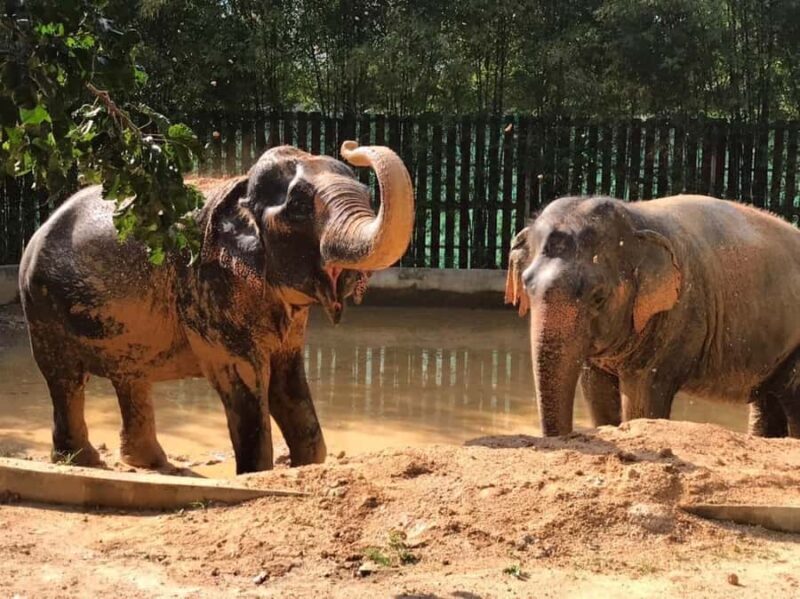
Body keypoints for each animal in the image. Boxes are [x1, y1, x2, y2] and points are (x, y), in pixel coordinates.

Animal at [19, 141, 414, 474]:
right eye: (300, 207)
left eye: (368, 196)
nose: (351, 146)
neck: (240, 188)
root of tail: (41, 227)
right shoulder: (207, 287)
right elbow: (245, 379)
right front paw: (255, 474)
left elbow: (288, 380)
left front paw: (306, 466)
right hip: (41, 307)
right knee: (66, 377)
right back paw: (82, 462)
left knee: (130, 376)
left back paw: (149, 464)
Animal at [505, 194, 800, 438]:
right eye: (527, 286)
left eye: (598, 297)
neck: (635, 216)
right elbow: (596, 391)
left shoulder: (678, 317)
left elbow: (642, 400)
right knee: (768, 400)